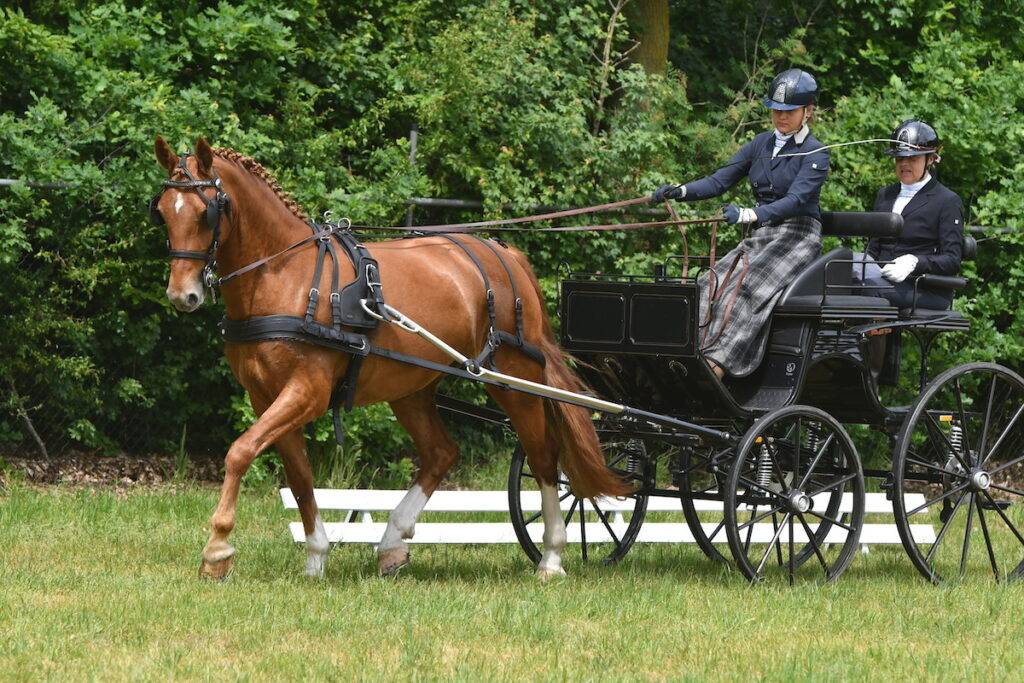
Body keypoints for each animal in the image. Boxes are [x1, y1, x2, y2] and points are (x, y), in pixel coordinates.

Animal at [153, 136, 630, 580]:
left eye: (207, 212)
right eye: (162, 212)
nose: (182, 295)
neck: (285, 277)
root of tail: (506, 254)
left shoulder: (307, 391)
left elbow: (239, 452)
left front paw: (217, 551)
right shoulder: (265, 396)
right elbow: (299, 476)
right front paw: (316, 557)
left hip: (512, 379)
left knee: (544, 456)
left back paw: (551, 555)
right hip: (411, 388)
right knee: (441, 453)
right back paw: (391, 543)